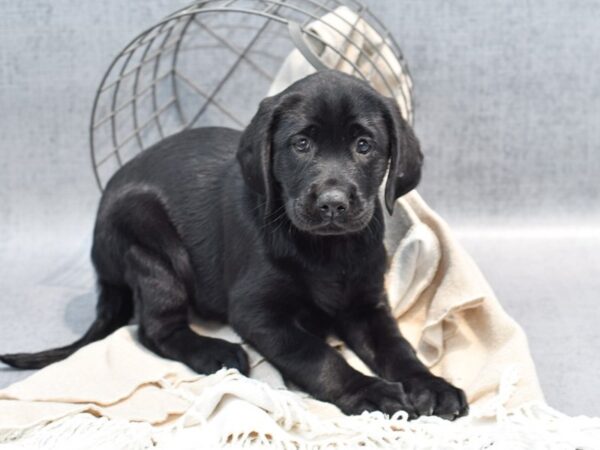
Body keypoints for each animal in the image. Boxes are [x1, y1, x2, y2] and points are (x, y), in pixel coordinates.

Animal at [0, 70, 468, 418]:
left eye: (364, 145)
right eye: (301, 144)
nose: (333, 203)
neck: (325, 252)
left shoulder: (366, 304)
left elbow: (397, 347)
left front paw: (432, 385)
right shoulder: (258, 313)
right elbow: (316, 355)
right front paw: (369, 391)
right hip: (151, 244)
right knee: (154, 329)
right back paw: (214, 351)